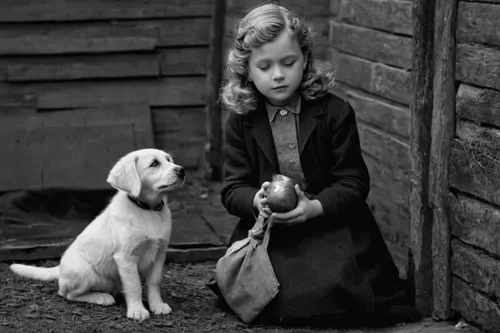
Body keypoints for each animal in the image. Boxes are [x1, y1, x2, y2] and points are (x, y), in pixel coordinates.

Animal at [9, 148, 186, 320]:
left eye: (168, 160)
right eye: (154, 163)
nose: (182, 170)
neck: (148, 209)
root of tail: (60, 268)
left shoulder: (159, 253)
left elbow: (154, 282)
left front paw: (157, 305)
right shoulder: (126, 257)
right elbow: (134, 285)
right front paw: (137, 310)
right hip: (83, 271)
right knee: (67, 294)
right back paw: (101, 297)